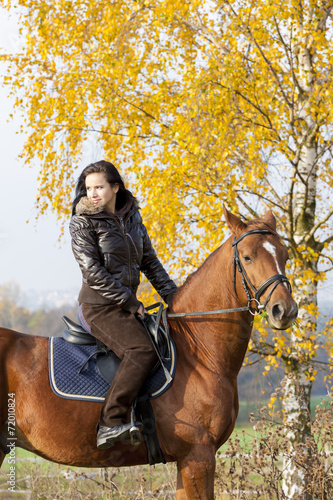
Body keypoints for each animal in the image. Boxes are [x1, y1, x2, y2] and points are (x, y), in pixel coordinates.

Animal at [0, 207, 296, 496]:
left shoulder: (187, 460)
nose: (285, 311)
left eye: (284, 254)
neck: (197, 354)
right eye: (247, 257)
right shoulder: (198, 456)